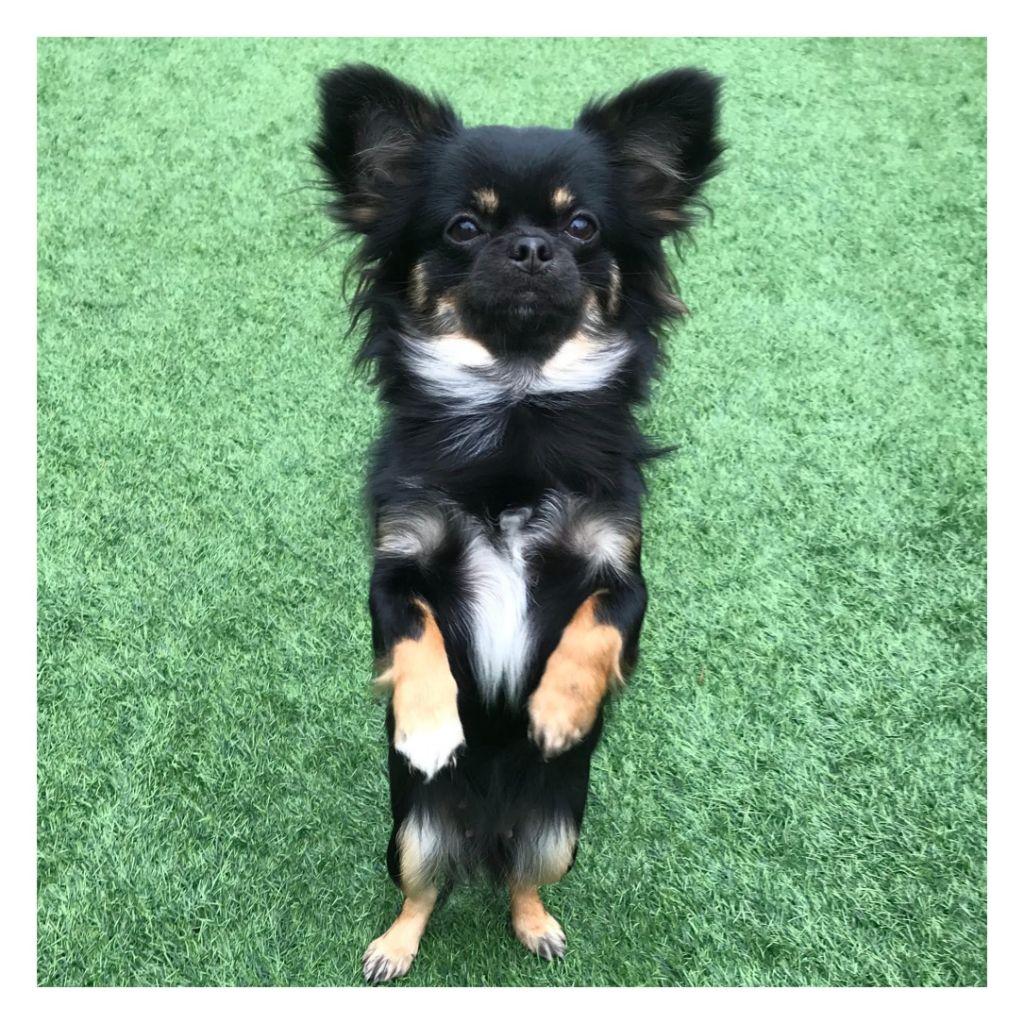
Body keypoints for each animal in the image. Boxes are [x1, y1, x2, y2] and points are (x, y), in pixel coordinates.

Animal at [312, 64, 723, 982]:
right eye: (464, 227)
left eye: (582, 225)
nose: (533, 247)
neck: (515, 405)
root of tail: (488, 837)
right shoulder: (396, 566)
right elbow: (414, 633)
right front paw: (431, 724)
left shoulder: (623, 568)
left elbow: (599, 625)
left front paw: (560, 712)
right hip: (410, 833)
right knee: (423, 890)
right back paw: (394, 946)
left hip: (560, 834)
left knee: (523, 883)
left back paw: (536, 923)